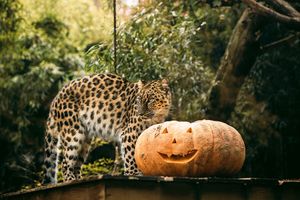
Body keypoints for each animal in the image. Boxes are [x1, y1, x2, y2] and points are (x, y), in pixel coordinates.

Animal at [43, 72, 172, 184]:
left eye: (151, 100)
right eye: (139, 100)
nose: (140, 113)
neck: (156, 116)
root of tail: (56, 98)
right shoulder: (129, 134)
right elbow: (130, 156)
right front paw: (133, 174)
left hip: (85, 140)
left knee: (76, 165)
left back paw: (78, 180)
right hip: (73, 133)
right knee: (65, 164)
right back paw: (70, 181)